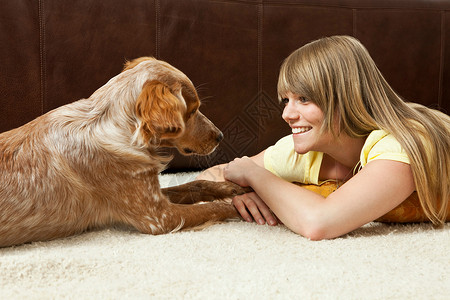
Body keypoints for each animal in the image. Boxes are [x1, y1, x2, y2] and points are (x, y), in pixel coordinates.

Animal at [0, 57, 246, 247]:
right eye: (192, 111)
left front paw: (232, 188)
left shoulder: (150, 192)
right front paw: (245, 206)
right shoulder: (159, 216)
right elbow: (217, 207)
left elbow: (196, 184)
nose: (220, 136)